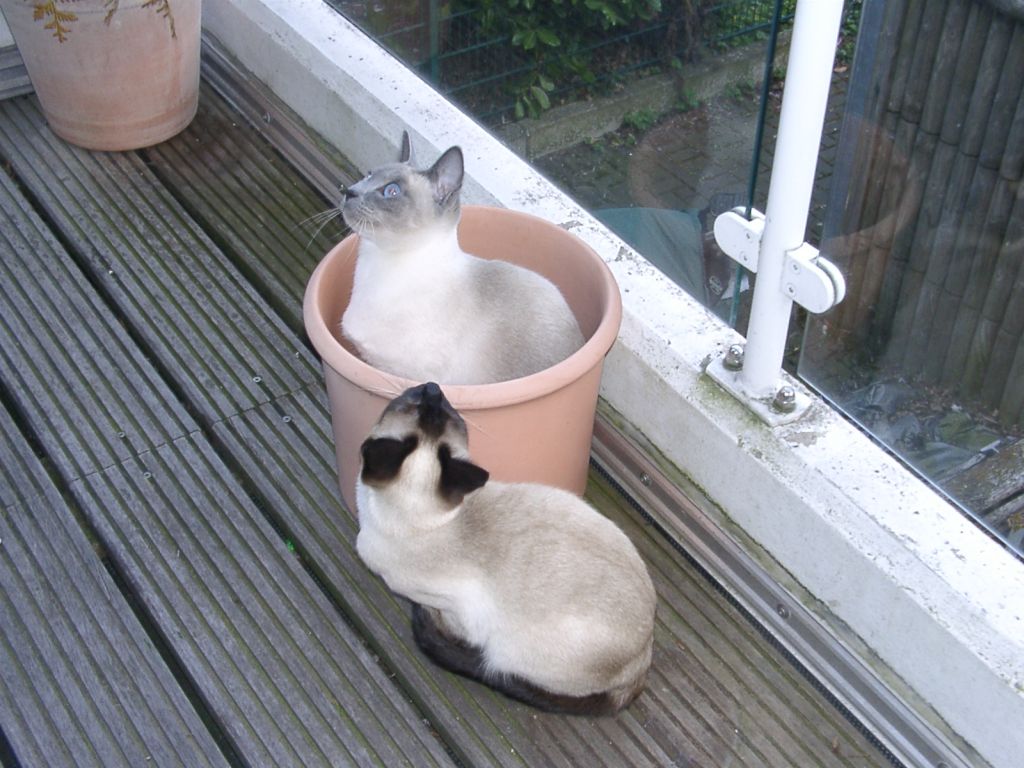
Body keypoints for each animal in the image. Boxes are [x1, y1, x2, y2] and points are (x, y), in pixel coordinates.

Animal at [340, 132, 585, 385]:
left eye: (391, 191)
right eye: (368, 175)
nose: (349, 191)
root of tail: (580, 341)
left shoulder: (410, 375)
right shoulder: (375, 363)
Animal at [355, 382, 657, 715]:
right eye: (419, 402)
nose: (433, 388)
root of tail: (642, 662)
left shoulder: (456, 608)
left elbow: (451, 627)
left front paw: (429, 621)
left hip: (511, 649)